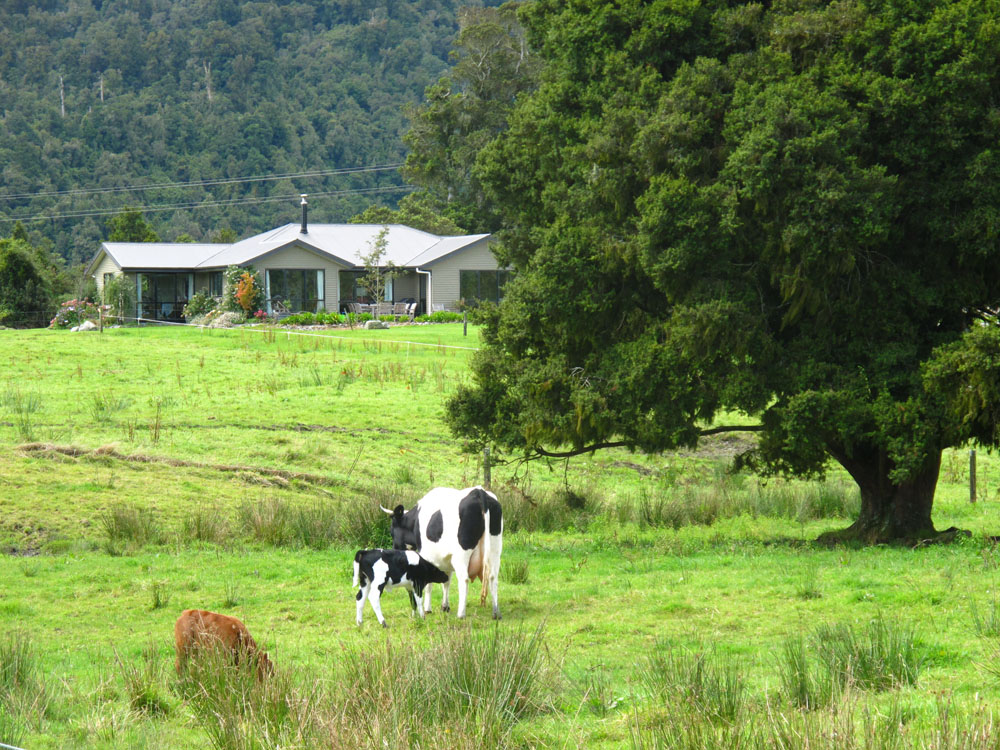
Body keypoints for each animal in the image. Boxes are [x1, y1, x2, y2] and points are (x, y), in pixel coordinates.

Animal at [380, 488, 504, 624]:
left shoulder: (427, 555)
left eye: (392, 532)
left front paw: (427, 609)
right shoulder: (447, 558)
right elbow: (447, 581)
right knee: (492, 578)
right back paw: (496, 612)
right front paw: (445, 606)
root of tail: (478, 491)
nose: (395, 549)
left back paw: (461, 614)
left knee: (464, 579)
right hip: (495, 551)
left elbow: (429, 583)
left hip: (462, 555)